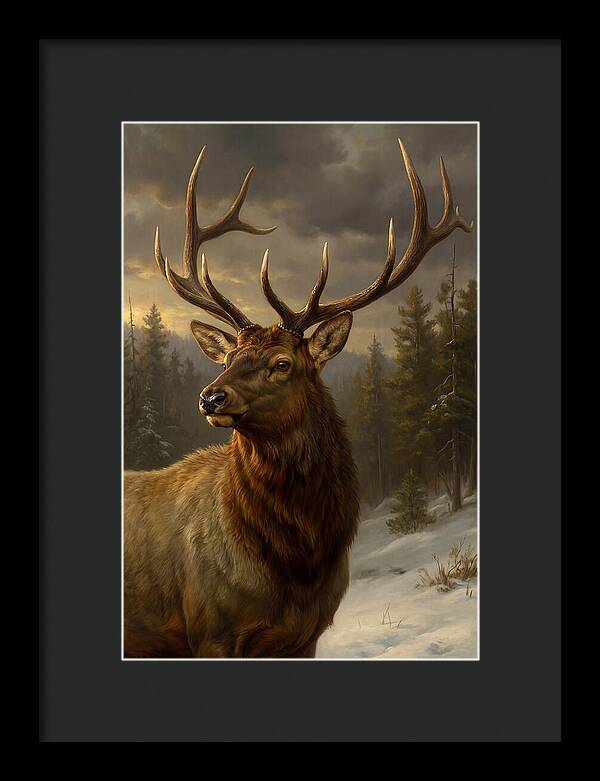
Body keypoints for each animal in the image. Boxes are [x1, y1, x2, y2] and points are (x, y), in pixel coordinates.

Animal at [124, 140, 473, 658]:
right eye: (227, 356)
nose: (210, 397)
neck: (297, 564)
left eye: (282, 363)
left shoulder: (305, 634)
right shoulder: (209, 630)